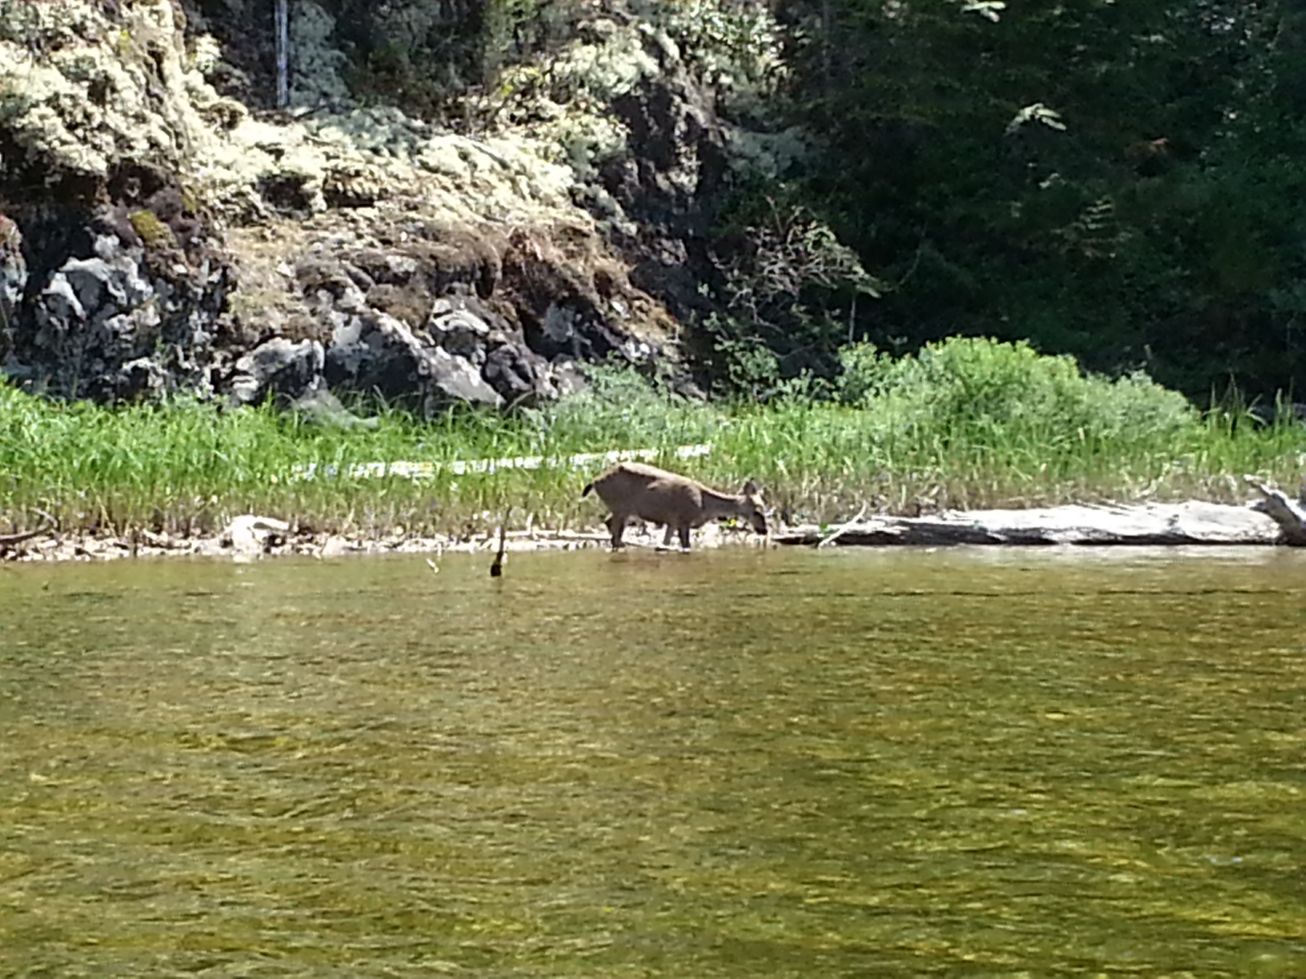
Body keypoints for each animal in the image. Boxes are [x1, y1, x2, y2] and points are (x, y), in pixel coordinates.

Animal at [579, 462, 762, 553]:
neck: (705, 505)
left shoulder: (672, 522)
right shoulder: (684, 520)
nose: (764, 530)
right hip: (620, 506)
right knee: (613, 532)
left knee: (611, 527)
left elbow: (663, 546)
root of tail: (595, 481)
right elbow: (686, 545)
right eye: (757, 510)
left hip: (623, 509)